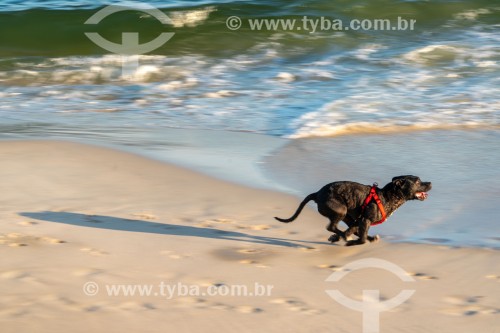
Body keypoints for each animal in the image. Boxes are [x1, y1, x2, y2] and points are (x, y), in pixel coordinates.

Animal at [276, 175, 432, 245]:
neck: (388, 196)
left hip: (347, 215)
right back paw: (344, 237)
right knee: (331, 226)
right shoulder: (365, 219)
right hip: (341, 210)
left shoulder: (360, 220)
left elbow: (355, 230)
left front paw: (341, 237)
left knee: (344, 227)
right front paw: (349, 241)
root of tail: (317, 194)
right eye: (418, 181)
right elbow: (361, 239)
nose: (430, 183)